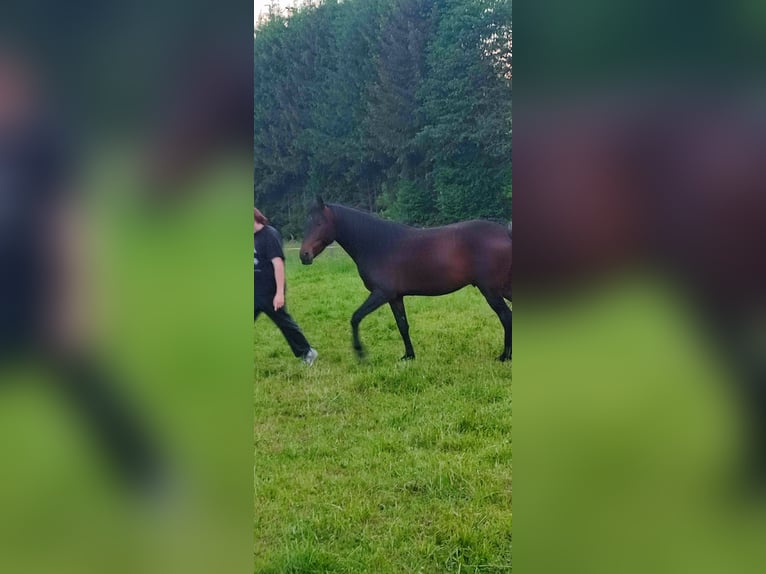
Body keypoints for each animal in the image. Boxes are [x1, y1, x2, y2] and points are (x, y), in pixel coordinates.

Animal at [302, 198, 516, 360]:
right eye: (307, 223)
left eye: (319, 223)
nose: (304, 255)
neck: (378, 244)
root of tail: (506, 233)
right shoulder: (395, 297)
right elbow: (403, 326)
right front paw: (409, 356)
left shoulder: (382, 293)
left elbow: (356, 317)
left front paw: (360, 353)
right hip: (502, 288)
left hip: (491, 290)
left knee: (506, 316)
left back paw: (505, 356)